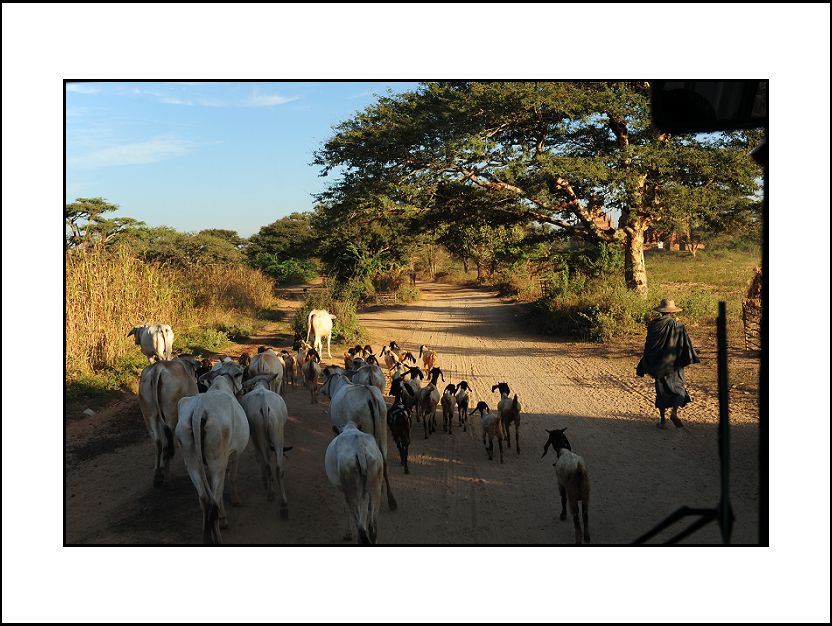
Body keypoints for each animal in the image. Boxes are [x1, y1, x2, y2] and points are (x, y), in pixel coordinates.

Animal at [139, 354, 201, 486]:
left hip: (149, 414)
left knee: (158, 443)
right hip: (170, 415)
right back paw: (167, 479)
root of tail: (157, 368)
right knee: (168, 443)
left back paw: (157, 476)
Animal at [176, 358, 249, 544]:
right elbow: (231, 478)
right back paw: (218, 535)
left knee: (204, 498)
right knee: (214, 498)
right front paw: (233, 504)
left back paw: (206, 535)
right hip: (218, 461)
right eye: (239, 373)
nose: (241, 389)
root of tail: (199, 409)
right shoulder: (235, 454)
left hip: (192, 461)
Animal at [239, 372, 290, 516]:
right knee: (278, 467)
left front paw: (265, 481)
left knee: (267, 464)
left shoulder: (254, 437)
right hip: (277, 433)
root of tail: (264, 403)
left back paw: (271, 493)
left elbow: (259, 457)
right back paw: (283, 503)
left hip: (260, 433)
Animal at [318, 368, 396, 510]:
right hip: (382, 432)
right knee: (384, 459)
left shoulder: (337, 430)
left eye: (325, 377)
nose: (321, 389)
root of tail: (370, 395)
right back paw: (390, 498)